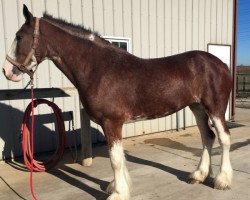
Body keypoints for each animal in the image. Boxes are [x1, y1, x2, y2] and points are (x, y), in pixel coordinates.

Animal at [1, 4, 233, 200]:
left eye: (19, 36)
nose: (7, 71)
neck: (99, 68)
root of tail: (220, 64)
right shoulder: (110, 124)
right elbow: (118, 157)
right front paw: (115, 187)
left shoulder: (111, 122)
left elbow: (115, 159)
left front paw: (118, 193)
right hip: (197, 107)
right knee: (207, 137)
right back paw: (199, 175)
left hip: (215, 108)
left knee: (223, 138)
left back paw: (222, 180)